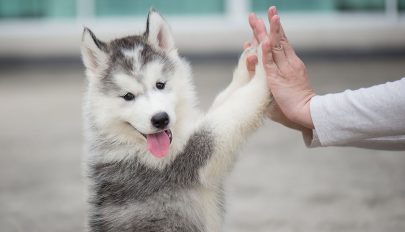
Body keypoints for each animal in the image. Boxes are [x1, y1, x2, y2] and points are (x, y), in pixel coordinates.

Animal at [81, 9, 270, 232]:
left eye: (160, 85)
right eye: (128, 96)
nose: (160, 119)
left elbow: (225, 100)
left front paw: (249, 63)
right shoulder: (191, 157)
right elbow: (233, 110)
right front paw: (266, 63)